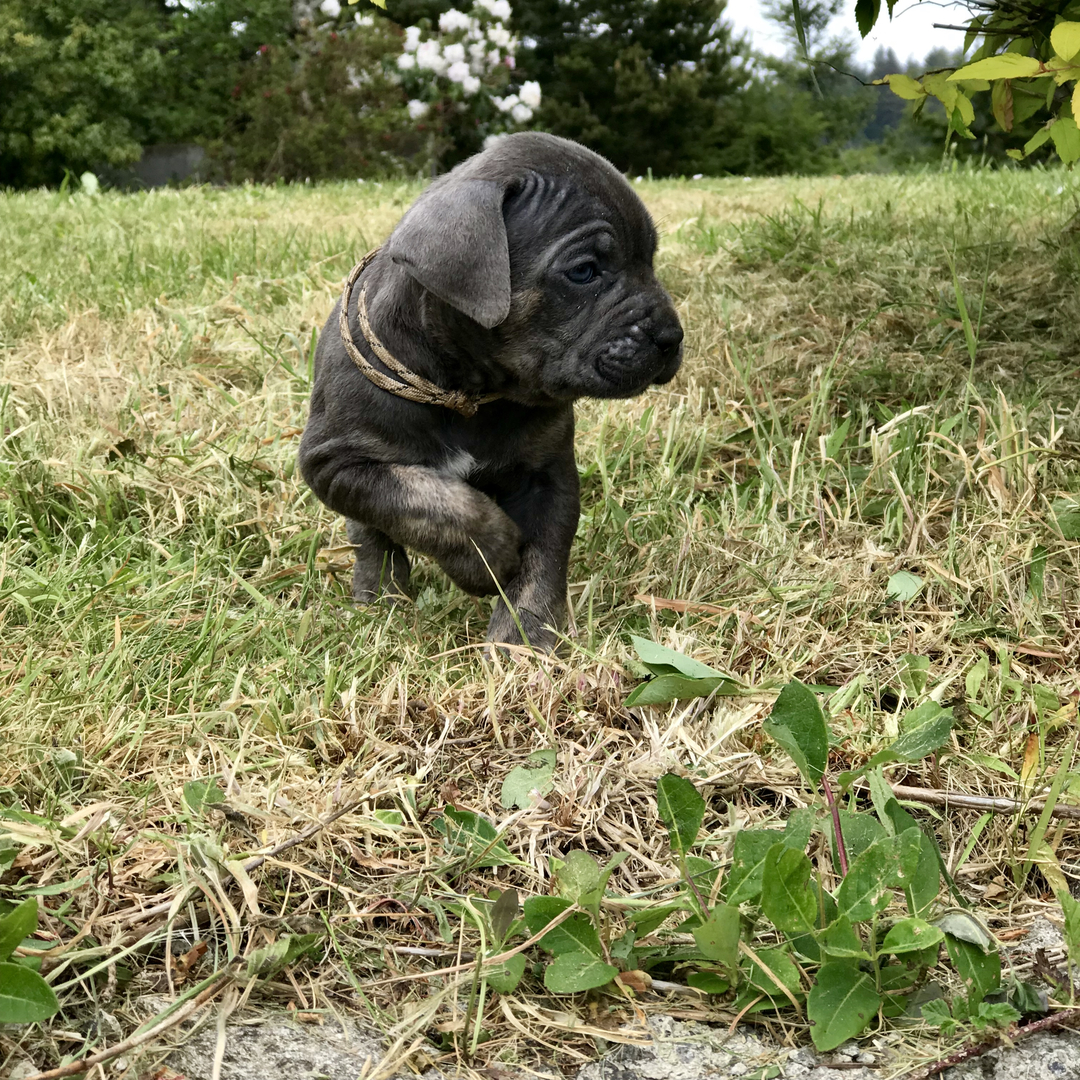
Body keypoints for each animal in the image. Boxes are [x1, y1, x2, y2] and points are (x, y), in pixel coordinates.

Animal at [295, 130, 682, 643]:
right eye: (583, 271)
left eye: (651, 261)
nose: (671, 338)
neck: (471, 392)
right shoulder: (337, 462)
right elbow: (427, 501)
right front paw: (488, 556)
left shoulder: (547, 476)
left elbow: (541, 563)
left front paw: (523, 642)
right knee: (372, 536)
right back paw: (379, 597)